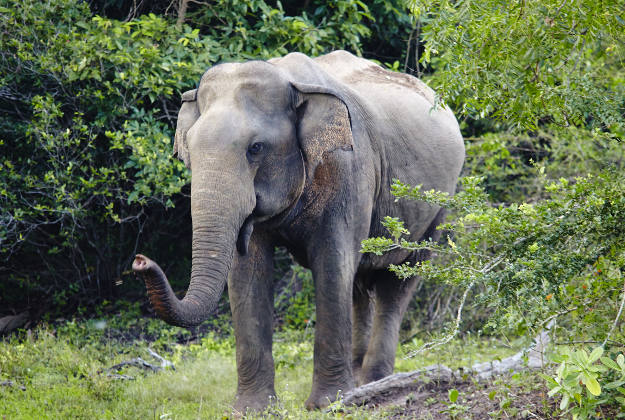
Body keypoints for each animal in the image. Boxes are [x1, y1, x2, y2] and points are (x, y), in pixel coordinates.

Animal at [132, 49, 464, 410]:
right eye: (188, 149)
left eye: (256, 148)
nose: (140, 260)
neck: (290, 82)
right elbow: (248, 273)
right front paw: (252, 410)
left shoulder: (347, 169)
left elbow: (332, 264)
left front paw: (327, 404)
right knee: (359, 284)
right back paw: (359, 382)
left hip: (440, 206)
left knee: (398, 281)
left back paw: (373, 383)